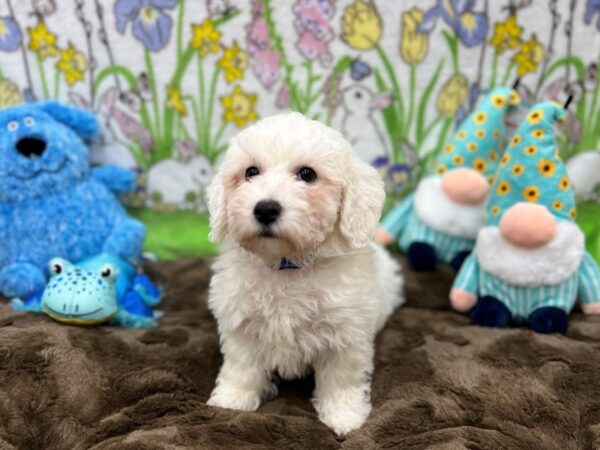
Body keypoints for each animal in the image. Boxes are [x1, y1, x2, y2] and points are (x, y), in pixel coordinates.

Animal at [205, 111, 404, 432]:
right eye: (251, 172)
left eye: (307, 174)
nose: (265, 209)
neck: (288, 263)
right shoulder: (241, 324)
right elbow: (242, 366)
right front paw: (231, 401)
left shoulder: (345, 332)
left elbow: (340, 377)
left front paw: (344, 416)